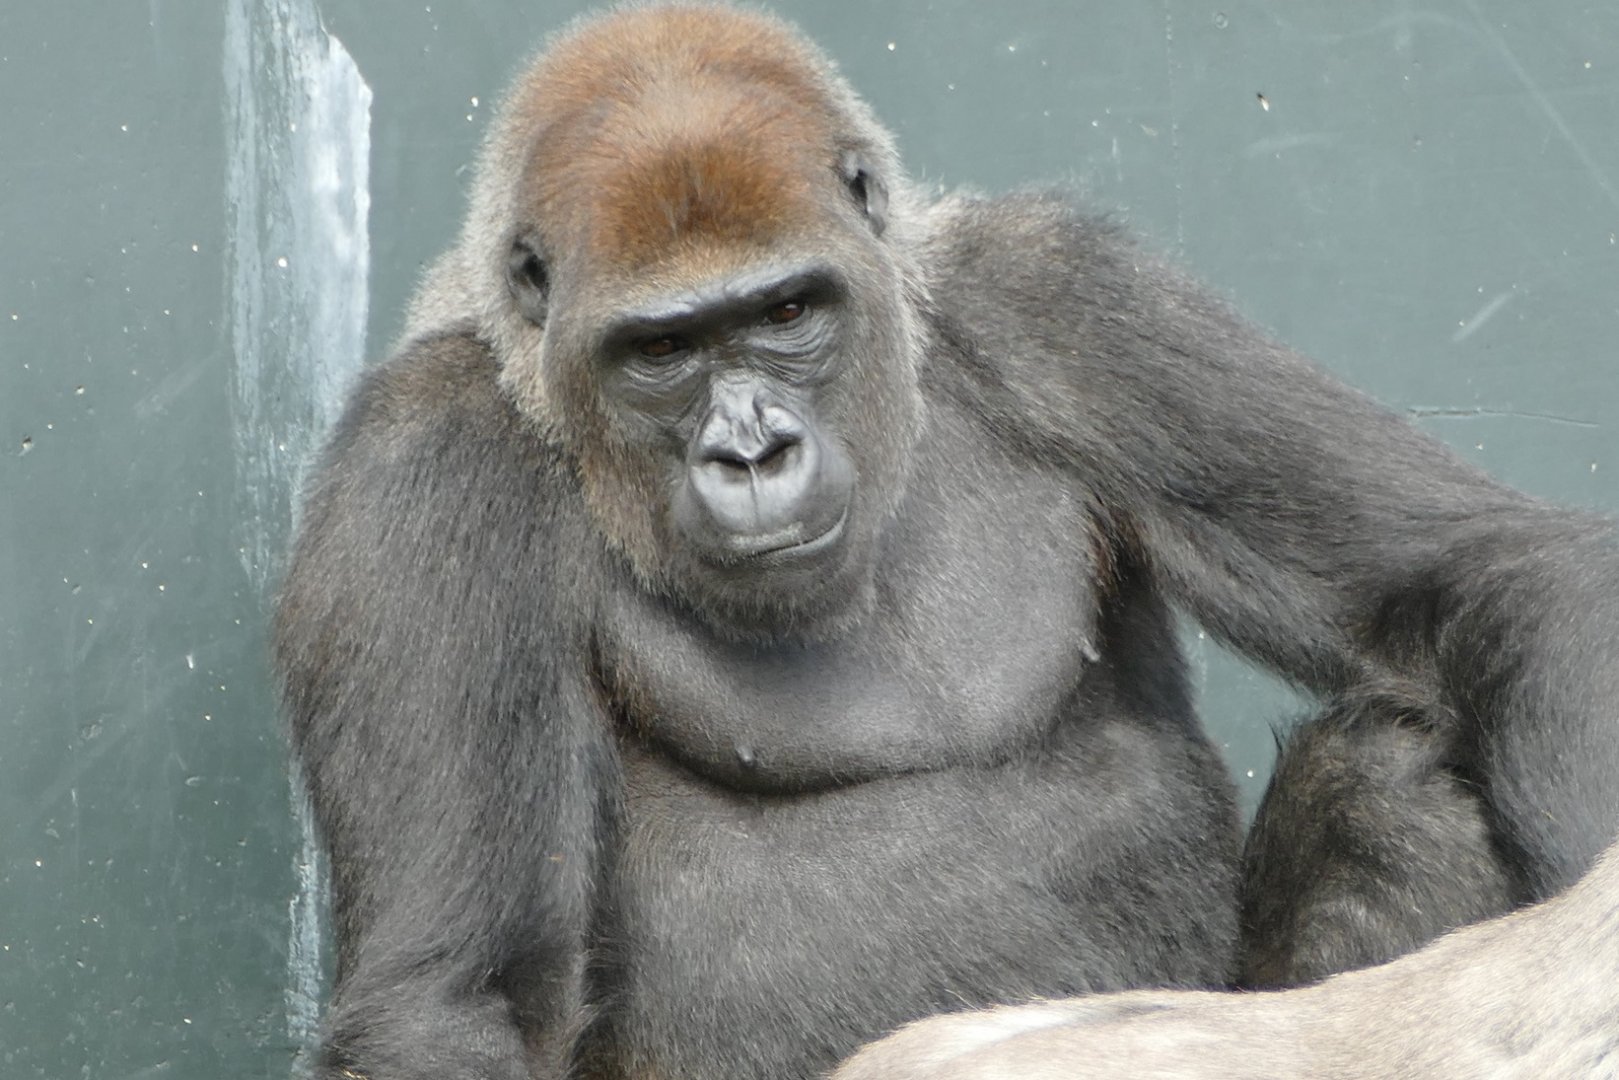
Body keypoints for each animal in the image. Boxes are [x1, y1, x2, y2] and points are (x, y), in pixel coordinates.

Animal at [273, 5, 1619, 1078]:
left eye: (785, 312)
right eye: (659, 351)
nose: (753, 452)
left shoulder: (1056, 291)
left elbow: (1475, 574)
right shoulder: (420, 461)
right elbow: (459, 1000)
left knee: (1394, 772)